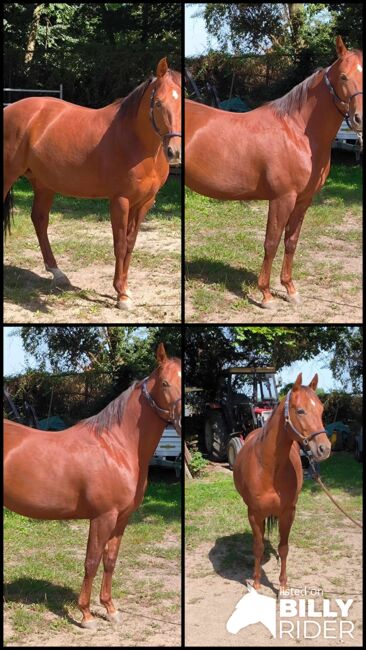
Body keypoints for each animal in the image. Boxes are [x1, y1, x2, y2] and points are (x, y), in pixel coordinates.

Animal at [4, 58, 182, 308]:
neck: (134, 140)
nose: (174, 152)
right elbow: (120, 245)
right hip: (9, 175)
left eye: (183, 104)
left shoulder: (144, 202)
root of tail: (9, 109)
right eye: (158, 103)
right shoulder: (120, 200)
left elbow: (131, 244)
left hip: (44, 184)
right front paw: (121, 295)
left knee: (39, 219)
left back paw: (58, 273)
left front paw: (125, 290)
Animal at [4, 342, 182, 624]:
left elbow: (110, 560)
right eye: (165, 383)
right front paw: (86, 614)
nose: (181, 420)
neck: (116, 447)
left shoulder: (122, 518)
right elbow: (91, 561)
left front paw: (110, 608)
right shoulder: (102, 517)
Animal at [186, 36, 364, 308]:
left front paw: (290, 289)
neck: (297, 132)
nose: (359, 118)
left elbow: (291, 241)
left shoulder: (303, 200)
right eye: (343, 76)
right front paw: (266, 294)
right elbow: (271, 242)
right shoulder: (282, 198)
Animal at [234, 372, 332, 588]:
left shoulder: (288, 512)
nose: (324, 448)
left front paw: (283, 585)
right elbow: (258, 547)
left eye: (321, 410)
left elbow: (284, 547)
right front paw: (256, 583)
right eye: (301, 410)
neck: (268, 468)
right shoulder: (254, 513)